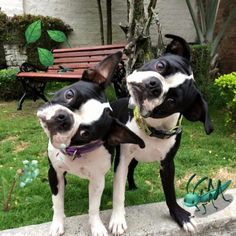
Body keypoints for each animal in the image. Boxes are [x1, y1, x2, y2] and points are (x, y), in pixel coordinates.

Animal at [37, 52, 145, 236]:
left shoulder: (97, 180)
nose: (63, 118)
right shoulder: (55, 172)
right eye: (69, 94)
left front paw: (96, 227)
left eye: (85, 133)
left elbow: (94, 207)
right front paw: (57, 223)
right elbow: (58, 202)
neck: (76, 151)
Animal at [109, 34, 214, 234]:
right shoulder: (122, 160)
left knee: (132, 171)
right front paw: (117, 219)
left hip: (136, 160)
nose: (154, 84)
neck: (151, 128)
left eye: (172, 100)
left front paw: (180, 216)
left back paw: (132, 186)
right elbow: (118, 191)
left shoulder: (167, 164)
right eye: (160, 65)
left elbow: (170, 193)